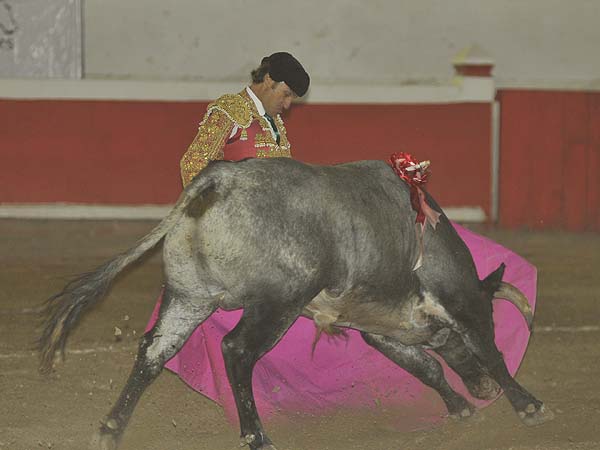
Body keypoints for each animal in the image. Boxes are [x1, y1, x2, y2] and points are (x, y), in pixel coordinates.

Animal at [37, 158, 552, 450]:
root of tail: (220, 179)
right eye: (446, 336)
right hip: (279, 300)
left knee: (154, 351)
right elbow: (491, 350)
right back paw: (257, 437)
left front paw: (461, 407)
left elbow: (424, 367)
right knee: (237, 350)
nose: (483, 390)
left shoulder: (379, 330)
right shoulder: (461, 301)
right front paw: (529, 406)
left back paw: (110, 429)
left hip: (189, 295)